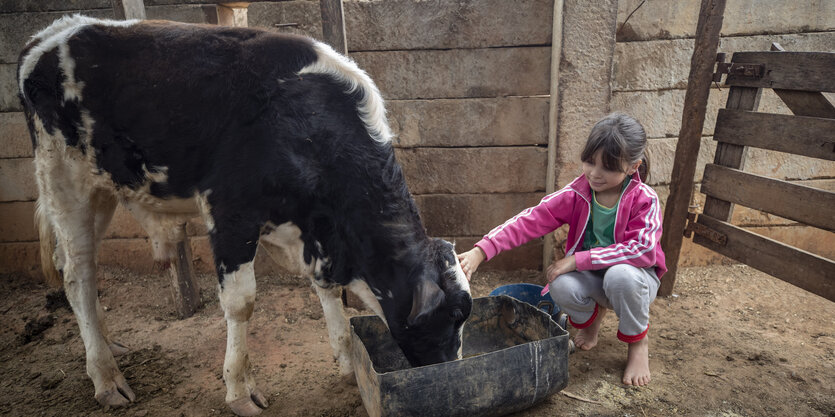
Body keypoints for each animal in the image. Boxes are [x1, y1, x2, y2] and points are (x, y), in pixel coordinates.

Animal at [19, 16, 474, 416]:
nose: (451, 372)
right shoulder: (230, 214)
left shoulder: (312, 231)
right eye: (453, 316)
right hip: (65, 179)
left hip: (102, 191)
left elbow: (326, 291)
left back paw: (105, 343)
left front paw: (347, 359)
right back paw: (106, 377)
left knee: (79, 269)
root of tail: (50, 35)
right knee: (77, 274)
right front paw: (239, 389)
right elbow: (242, 303)